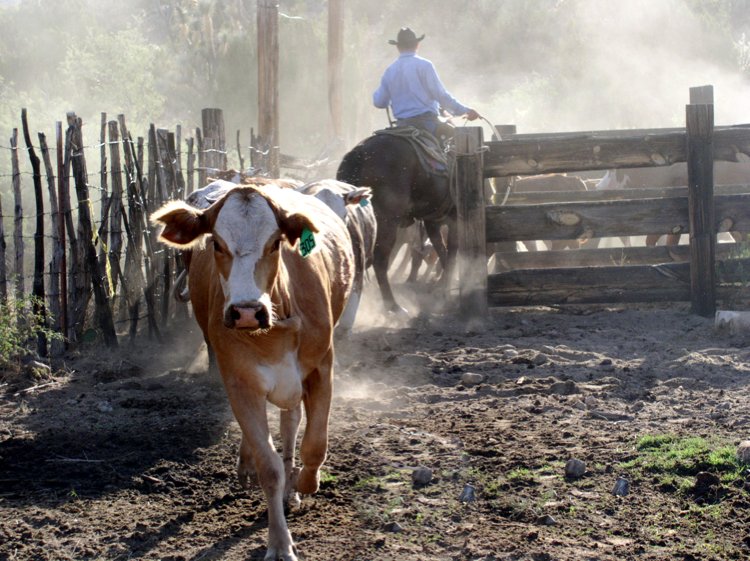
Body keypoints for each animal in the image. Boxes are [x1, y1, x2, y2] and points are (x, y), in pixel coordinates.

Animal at [152, 184, 356, 560]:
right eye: (216, 243)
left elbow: (314, 444)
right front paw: (279, 542)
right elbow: (269, 467)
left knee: (291, 424)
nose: (246, 311)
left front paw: (305, 483)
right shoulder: (240, 381)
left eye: (275, 243)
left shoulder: (322, 367)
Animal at [336, 132, 456, 316]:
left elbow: (443, 251)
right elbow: (452, 253)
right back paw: (393, 306)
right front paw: (446, 287)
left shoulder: (433, 222)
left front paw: (442, 286)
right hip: (387, 223)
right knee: (380, 261)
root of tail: (358, 153)